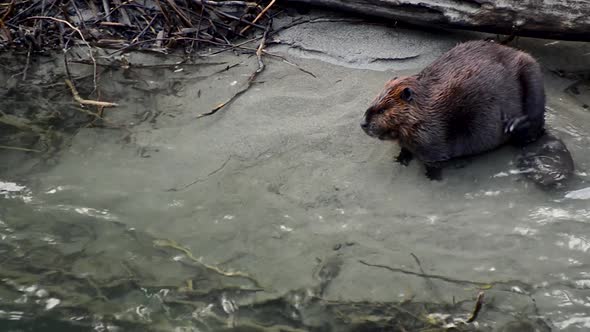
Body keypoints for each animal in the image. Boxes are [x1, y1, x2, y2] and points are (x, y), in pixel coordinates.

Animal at [364, 40, 548, 180]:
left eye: (382, 110)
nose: (363, 124)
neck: (426, 108)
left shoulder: (432, 136)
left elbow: (436, 160)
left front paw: (432, 175)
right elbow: (405, 147)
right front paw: (401, 157)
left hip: (530, 72)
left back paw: (515, 125)